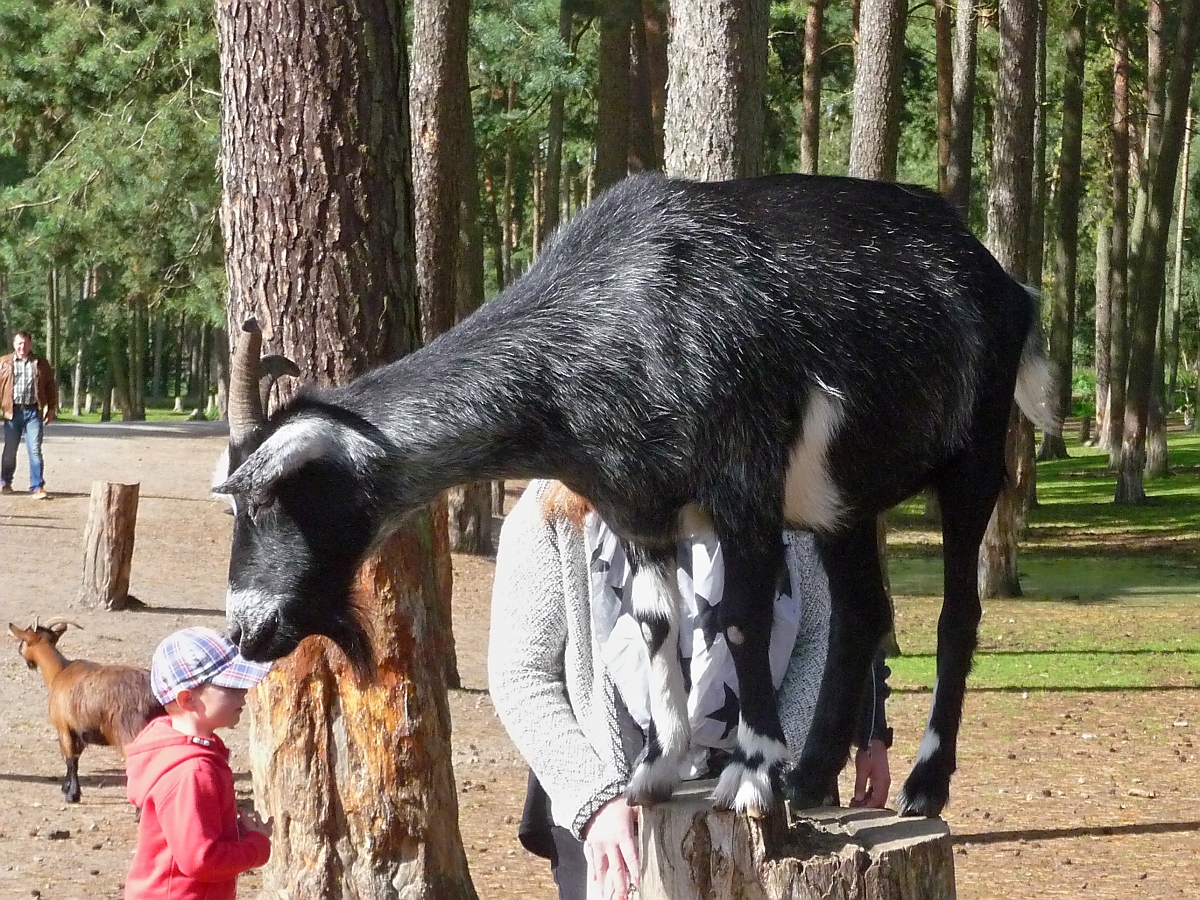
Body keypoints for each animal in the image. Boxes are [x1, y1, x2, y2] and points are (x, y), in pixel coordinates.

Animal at [9, 619, 165, 801]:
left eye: (23, 641)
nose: (20, 652)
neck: (59, 672)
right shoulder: (79, 731)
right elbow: (74, 758)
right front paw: (67, 788)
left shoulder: (64, 728)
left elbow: (71, 760)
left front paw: (72, 795)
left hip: (130, 733)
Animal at [218, 172, 1060, 820]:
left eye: (266, 500)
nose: (244, 629)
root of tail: (1010, 288)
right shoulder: (639, 511)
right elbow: (658, 623)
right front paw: (659, 770)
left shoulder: (744, 487)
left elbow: (741, 622)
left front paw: (750, 775)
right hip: (839, 503)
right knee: (863, 613)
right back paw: (815, 778)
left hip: (974, 454)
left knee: (957, 616)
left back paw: (921, 784)